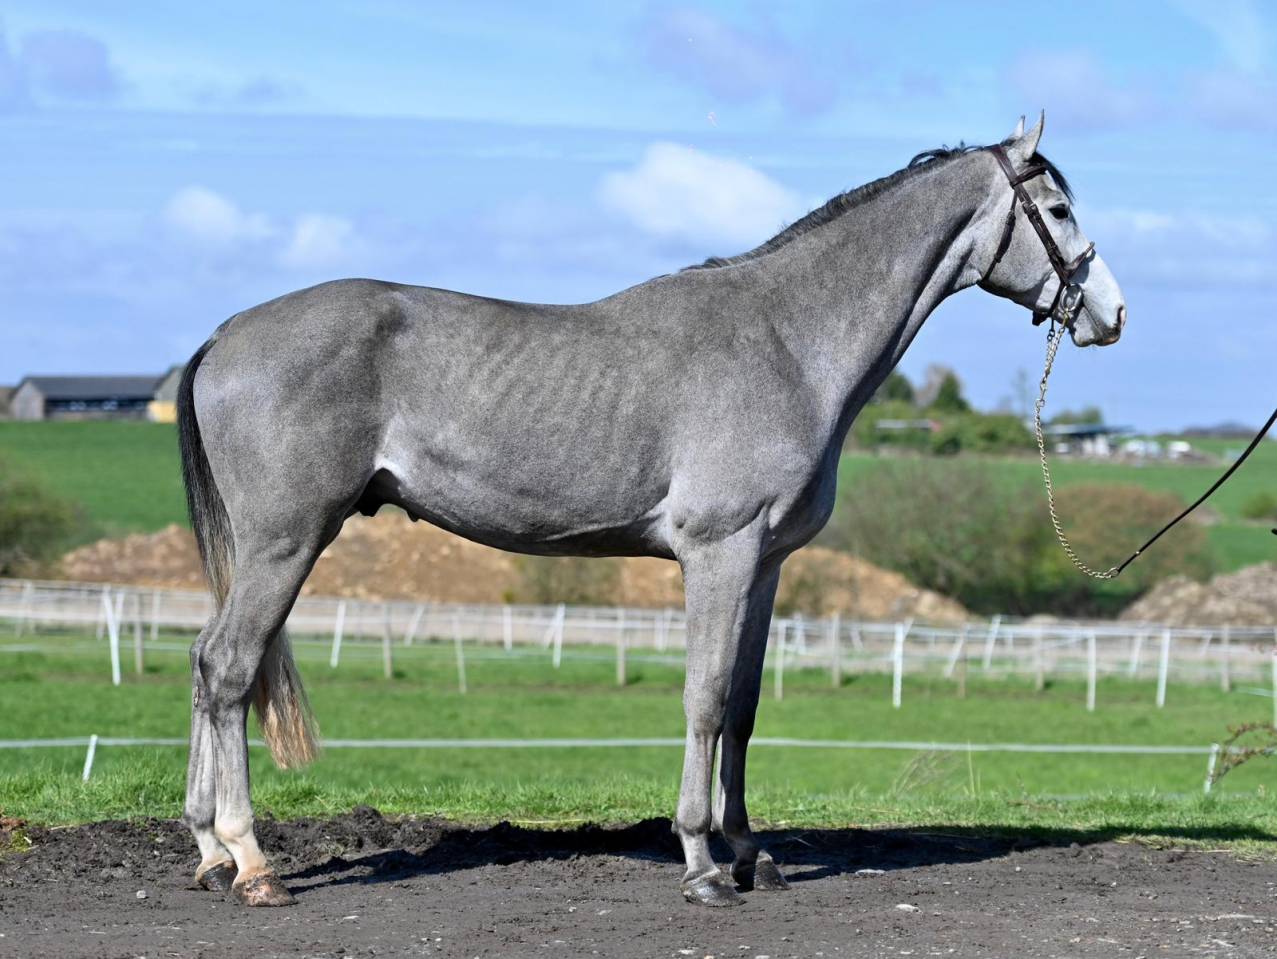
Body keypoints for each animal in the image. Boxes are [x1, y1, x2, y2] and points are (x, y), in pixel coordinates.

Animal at [177, 114, 1125, 908]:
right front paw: (702, 863)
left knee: (203, 661)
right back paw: (251, 861)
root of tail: (225, 334)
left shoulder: (765, 564)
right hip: (286, 541)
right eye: (1055, 207)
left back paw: (210, 850)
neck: (788, 342)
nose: (1110, 313)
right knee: (229, 667)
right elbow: (703, 699)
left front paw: (751, 854)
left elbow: (742, 705)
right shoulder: (718, 553)